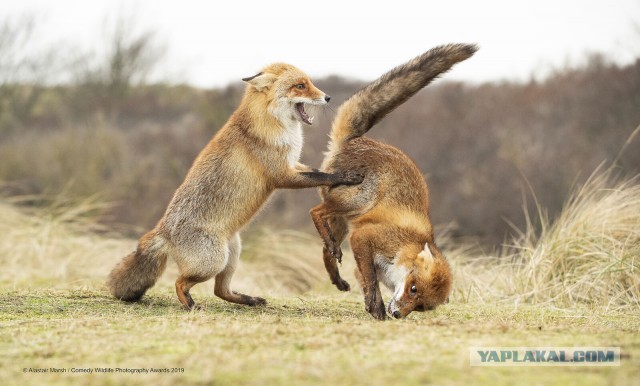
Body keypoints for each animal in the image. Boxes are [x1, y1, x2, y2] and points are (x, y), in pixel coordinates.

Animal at [107, 63, 362, 310]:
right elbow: (322, 177)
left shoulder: (292, 164)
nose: (328, 97)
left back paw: (250, 300)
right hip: (212, 262)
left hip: (232, 254)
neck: (273, 125)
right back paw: (190, 305)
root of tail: (163, 230)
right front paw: (346, 176)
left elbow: (317, 171)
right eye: (300, 86)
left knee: (220, 291)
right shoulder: (282, 175)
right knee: (180, 283)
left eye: (310, 83)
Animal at [310, 43, 476, 320]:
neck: (404, 248)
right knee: (315, 212)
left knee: (325, 249)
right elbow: (371, 281)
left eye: (420, 307)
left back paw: (337, 277)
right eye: (413, 288)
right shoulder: (363, 238)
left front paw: (373, 307)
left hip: (343, 222)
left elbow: (365, 281)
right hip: (356, 202)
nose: (398, 314)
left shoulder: (362, 257)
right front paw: (377, 308)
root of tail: (355, 140)